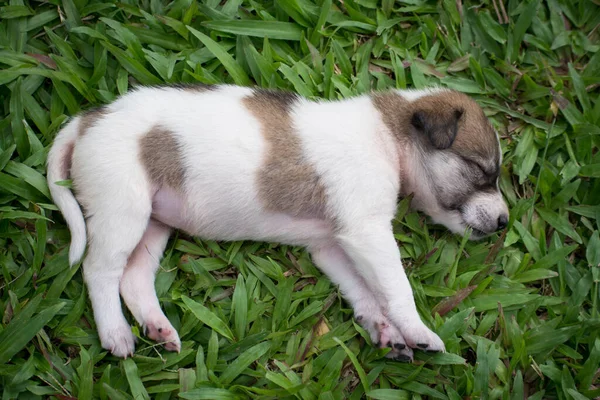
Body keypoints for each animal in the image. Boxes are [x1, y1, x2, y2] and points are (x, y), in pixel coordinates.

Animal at [47, 83, 508, 360]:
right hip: (122, 209)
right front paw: (416, 329)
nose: (505, 222)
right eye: (482, 171)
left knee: (134, 277)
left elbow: (364, 292)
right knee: (99, 271)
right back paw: (115, 333)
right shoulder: (369, 233)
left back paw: (157, 327)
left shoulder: (332, 245)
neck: (388, 136)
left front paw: (384, 329)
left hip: (153, 223)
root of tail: (89, 119)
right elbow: (397, 288)